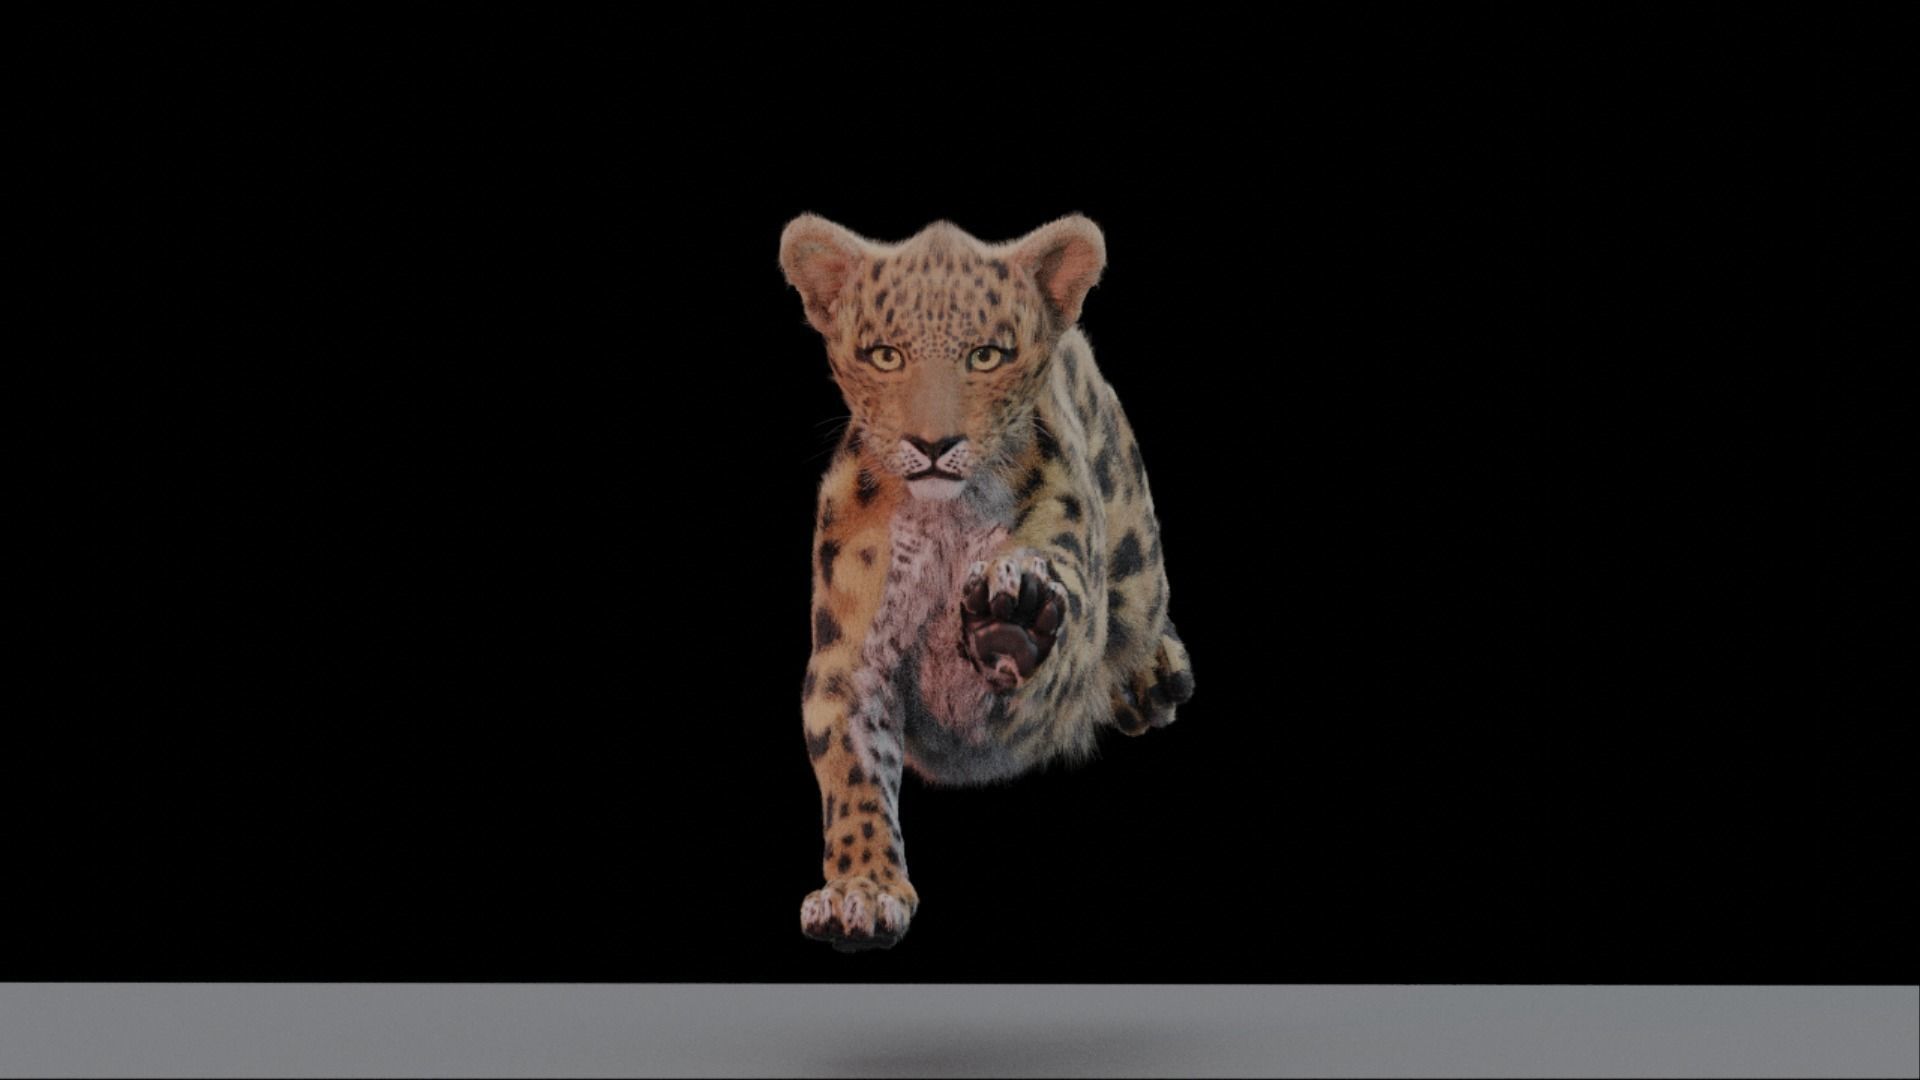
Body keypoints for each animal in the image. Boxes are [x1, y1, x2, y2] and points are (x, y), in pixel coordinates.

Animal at [780, 213, 1195, 951]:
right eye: (885, 356)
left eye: (986, 356)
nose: (932, 444)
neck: (944, 519)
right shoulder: (848, 659)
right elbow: (853, 770)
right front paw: (861, 892)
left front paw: (1015, 614)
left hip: (1136, 547)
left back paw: (1149, 674)